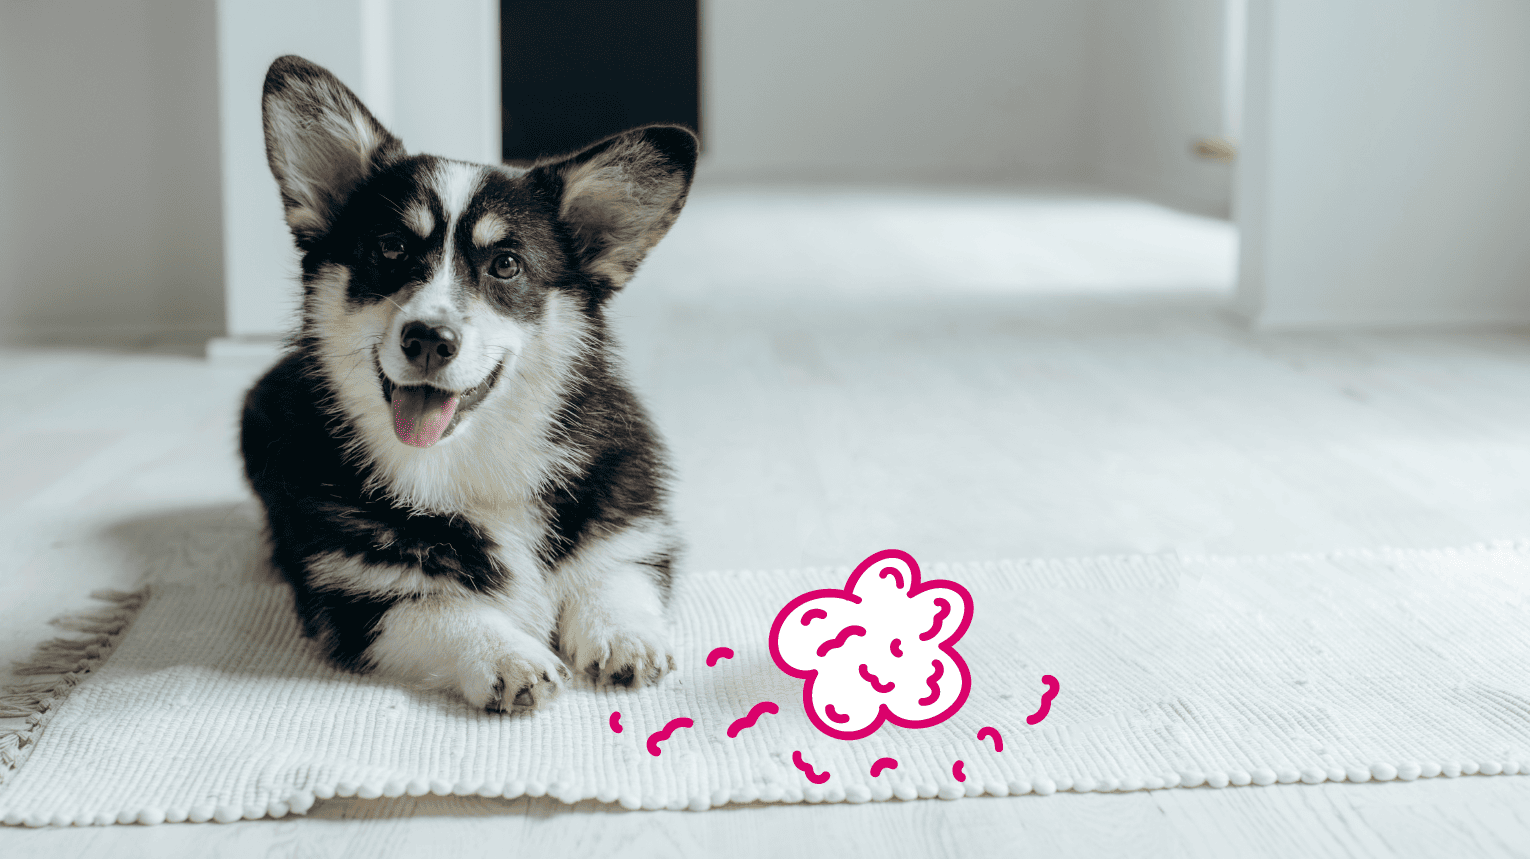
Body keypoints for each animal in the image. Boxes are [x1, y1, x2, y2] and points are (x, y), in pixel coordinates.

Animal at [241, 53, 697, 710]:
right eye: (390, 246)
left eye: (505, 264)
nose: (429, 339)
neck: (472, 459)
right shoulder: (357, 598)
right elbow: (443, 610)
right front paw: (508, 657)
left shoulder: (631, 533)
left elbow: (609, 574)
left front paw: (624, 638)